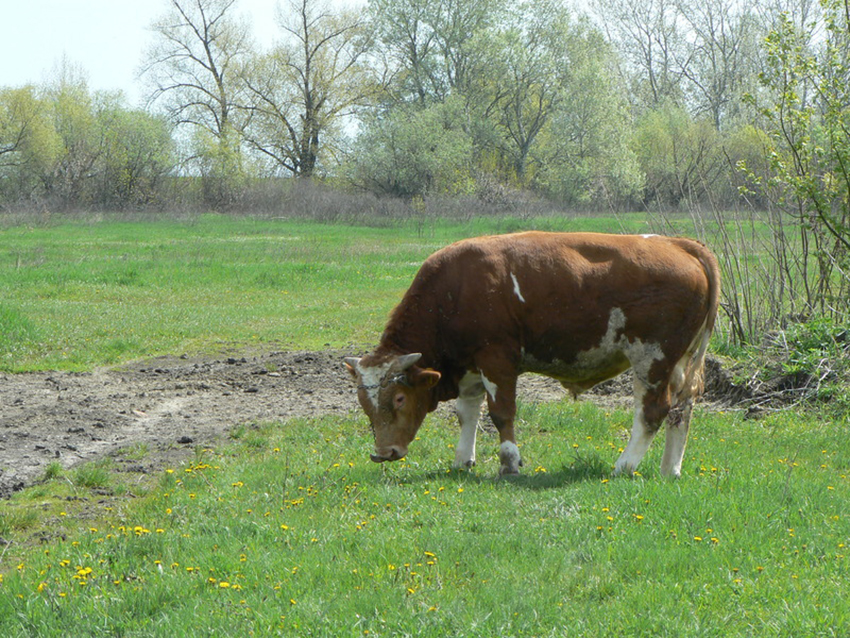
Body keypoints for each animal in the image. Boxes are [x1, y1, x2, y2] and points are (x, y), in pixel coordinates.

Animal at [342, 232, 720, 478]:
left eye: (400, 398)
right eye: (363, 402)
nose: (383, 453)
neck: (456, 288)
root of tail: (678, 244)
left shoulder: (496, 359)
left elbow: (501, 413)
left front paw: (509, 463)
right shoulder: (470, 366)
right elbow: (467, 413)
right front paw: (463, 459)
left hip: (652, 359)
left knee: (652, 412)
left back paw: (624, 465)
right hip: (681, 363)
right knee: (681, 410)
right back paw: (669, 469)